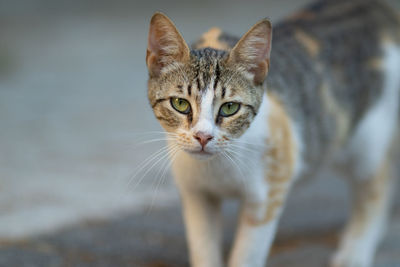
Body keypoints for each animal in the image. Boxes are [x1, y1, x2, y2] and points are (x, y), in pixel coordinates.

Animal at [145, 1, 400, 266]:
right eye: (180, 104)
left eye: (230, 107)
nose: (203, 137)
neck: (217, 166)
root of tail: (376, 8)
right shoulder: (196, 195)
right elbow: (203, 248)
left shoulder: (268, 194)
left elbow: (247, 255)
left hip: (368, 138)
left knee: (379, 183)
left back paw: (354, 252)